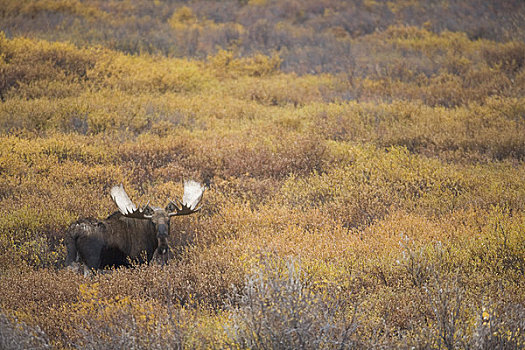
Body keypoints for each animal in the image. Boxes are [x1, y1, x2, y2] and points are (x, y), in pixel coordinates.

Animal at [64, 180, 204, 274]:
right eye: (153, 222)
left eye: (168, 220)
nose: (163, 246)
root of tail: (74, 232)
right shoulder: (138, 261)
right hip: (91, 262)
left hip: (73, 258)